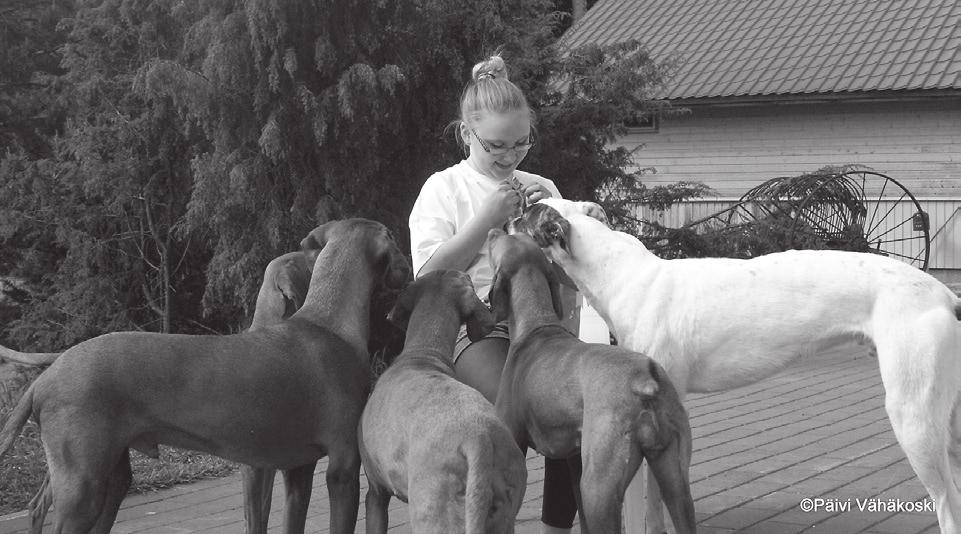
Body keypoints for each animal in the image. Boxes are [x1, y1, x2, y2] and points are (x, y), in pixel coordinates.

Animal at [0, 219, 408, 534]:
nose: (407, 267)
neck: (328, 323)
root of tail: (44, 378)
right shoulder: (342, 469)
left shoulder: (297, 470)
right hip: (82, 485)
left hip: (109, 479)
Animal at [484, 231, 692, 534]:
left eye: (498, 243)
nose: (493, 231)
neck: (537, 326)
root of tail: (645, 378)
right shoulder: (574, 458)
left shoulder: (513, 443)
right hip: (675, 481)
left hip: (598, 488)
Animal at [512, 199, 960, 534]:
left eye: (526, 213)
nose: (506, 220)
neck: (623, 274)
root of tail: (944, 294)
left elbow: (655, 504)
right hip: (945, 418)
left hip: (913, 415)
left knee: (946, 504)